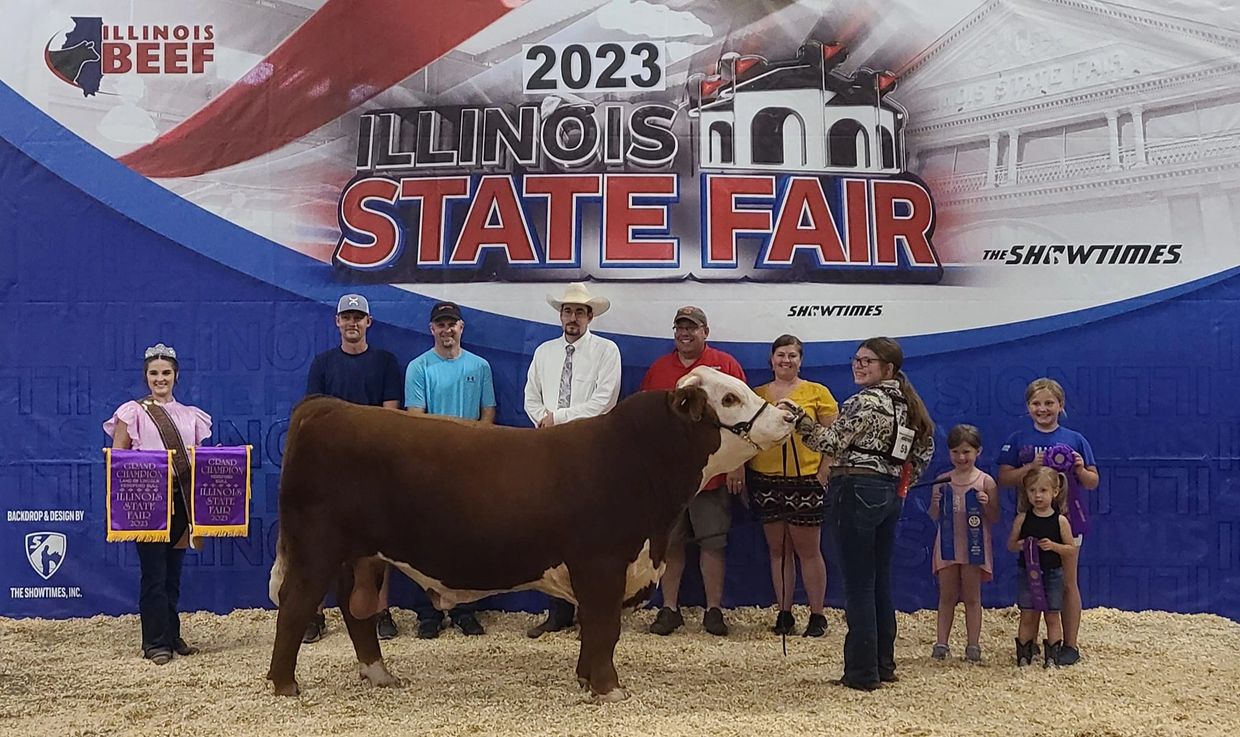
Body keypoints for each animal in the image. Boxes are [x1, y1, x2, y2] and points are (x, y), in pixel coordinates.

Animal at [269, 364, 793, 694]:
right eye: (729, 398)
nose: (790, 413)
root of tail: (328, 407)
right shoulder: (601, 563)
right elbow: (604, 626)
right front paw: (609, 690)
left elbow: (596, 631)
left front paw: (587, 680)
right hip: (316, 547)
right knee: (295, 606)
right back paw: (285, 685)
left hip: (362, 556)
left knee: (356, 610)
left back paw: (379, 676)